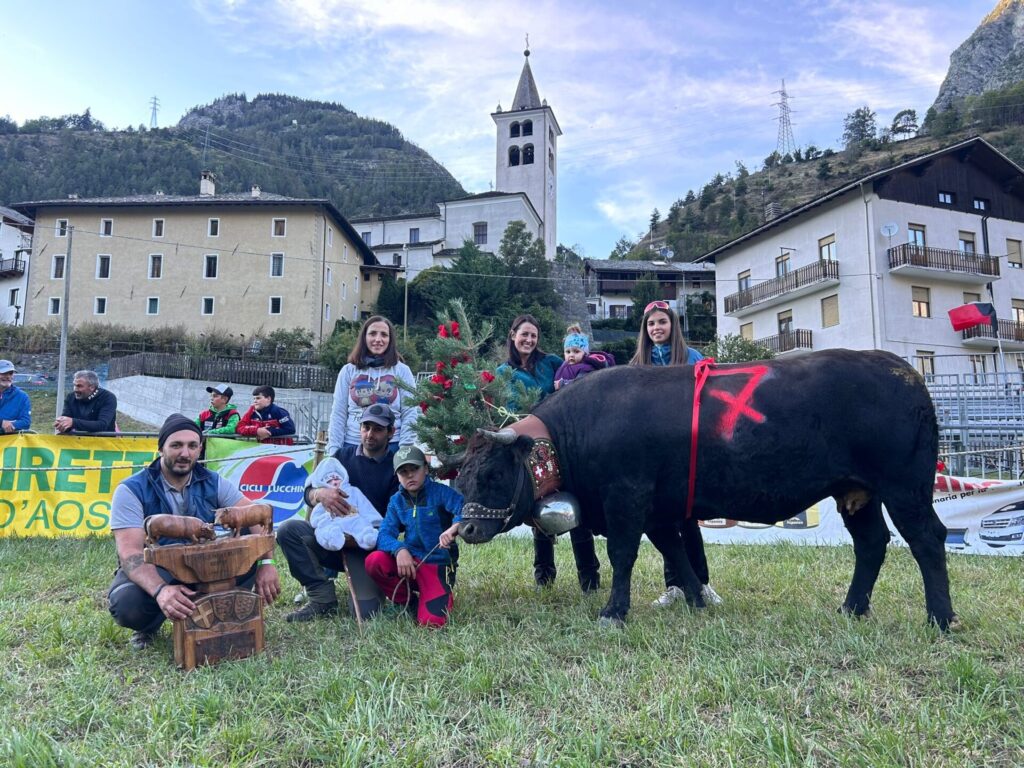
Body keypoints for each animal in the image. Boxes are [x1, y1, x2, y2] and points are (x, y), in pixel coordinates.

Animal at [452, 352, 954, 626]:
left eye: (492, 474)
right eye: (460, 476)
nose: (467, 529)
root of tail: (903, 370)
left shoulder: (627, 497)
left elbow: (623, 555)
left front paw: (614, 611)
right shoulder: (656, 509)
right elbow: (674, 552)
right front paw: (696, 599)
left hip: (905, 487)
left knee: (927, 539)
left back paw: (940, 617)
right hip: (857, 492)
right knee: (871, 543)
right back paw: (851, 608)